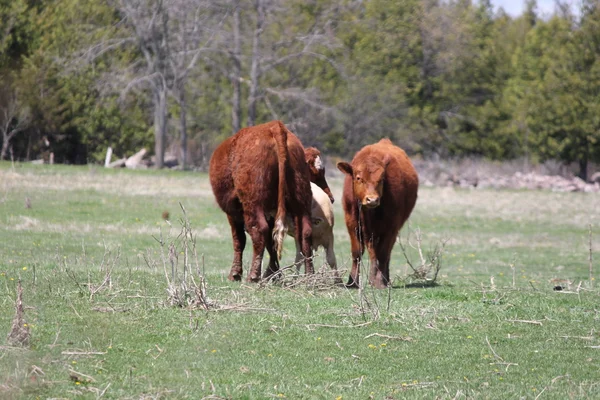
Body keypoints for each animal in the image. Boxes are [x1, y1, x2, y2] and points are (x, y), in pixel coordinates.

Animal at [209, 120, 326, 282]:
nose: (331, 197)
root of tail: (275, 127)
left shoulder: (232, 212)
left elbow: (239, 240)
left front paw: (235, 274)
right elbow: (271, 243)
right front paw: (273, 273)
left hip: (254, 204)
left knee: (259, 231)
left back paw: (253, 276)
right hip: (301, 202)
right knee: (305, 233)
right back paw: (309, 275)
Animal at [338, 138, 418, 288]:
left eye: (381, 180)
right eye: (358, 178)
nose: (372, 199)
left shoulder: (391, 227)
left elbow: (383, 253)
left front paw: (380, 282)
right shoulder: (352, 223)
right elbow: (357, 252)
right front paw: (352, 282)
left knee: (385, 254)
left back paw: (383, 279)